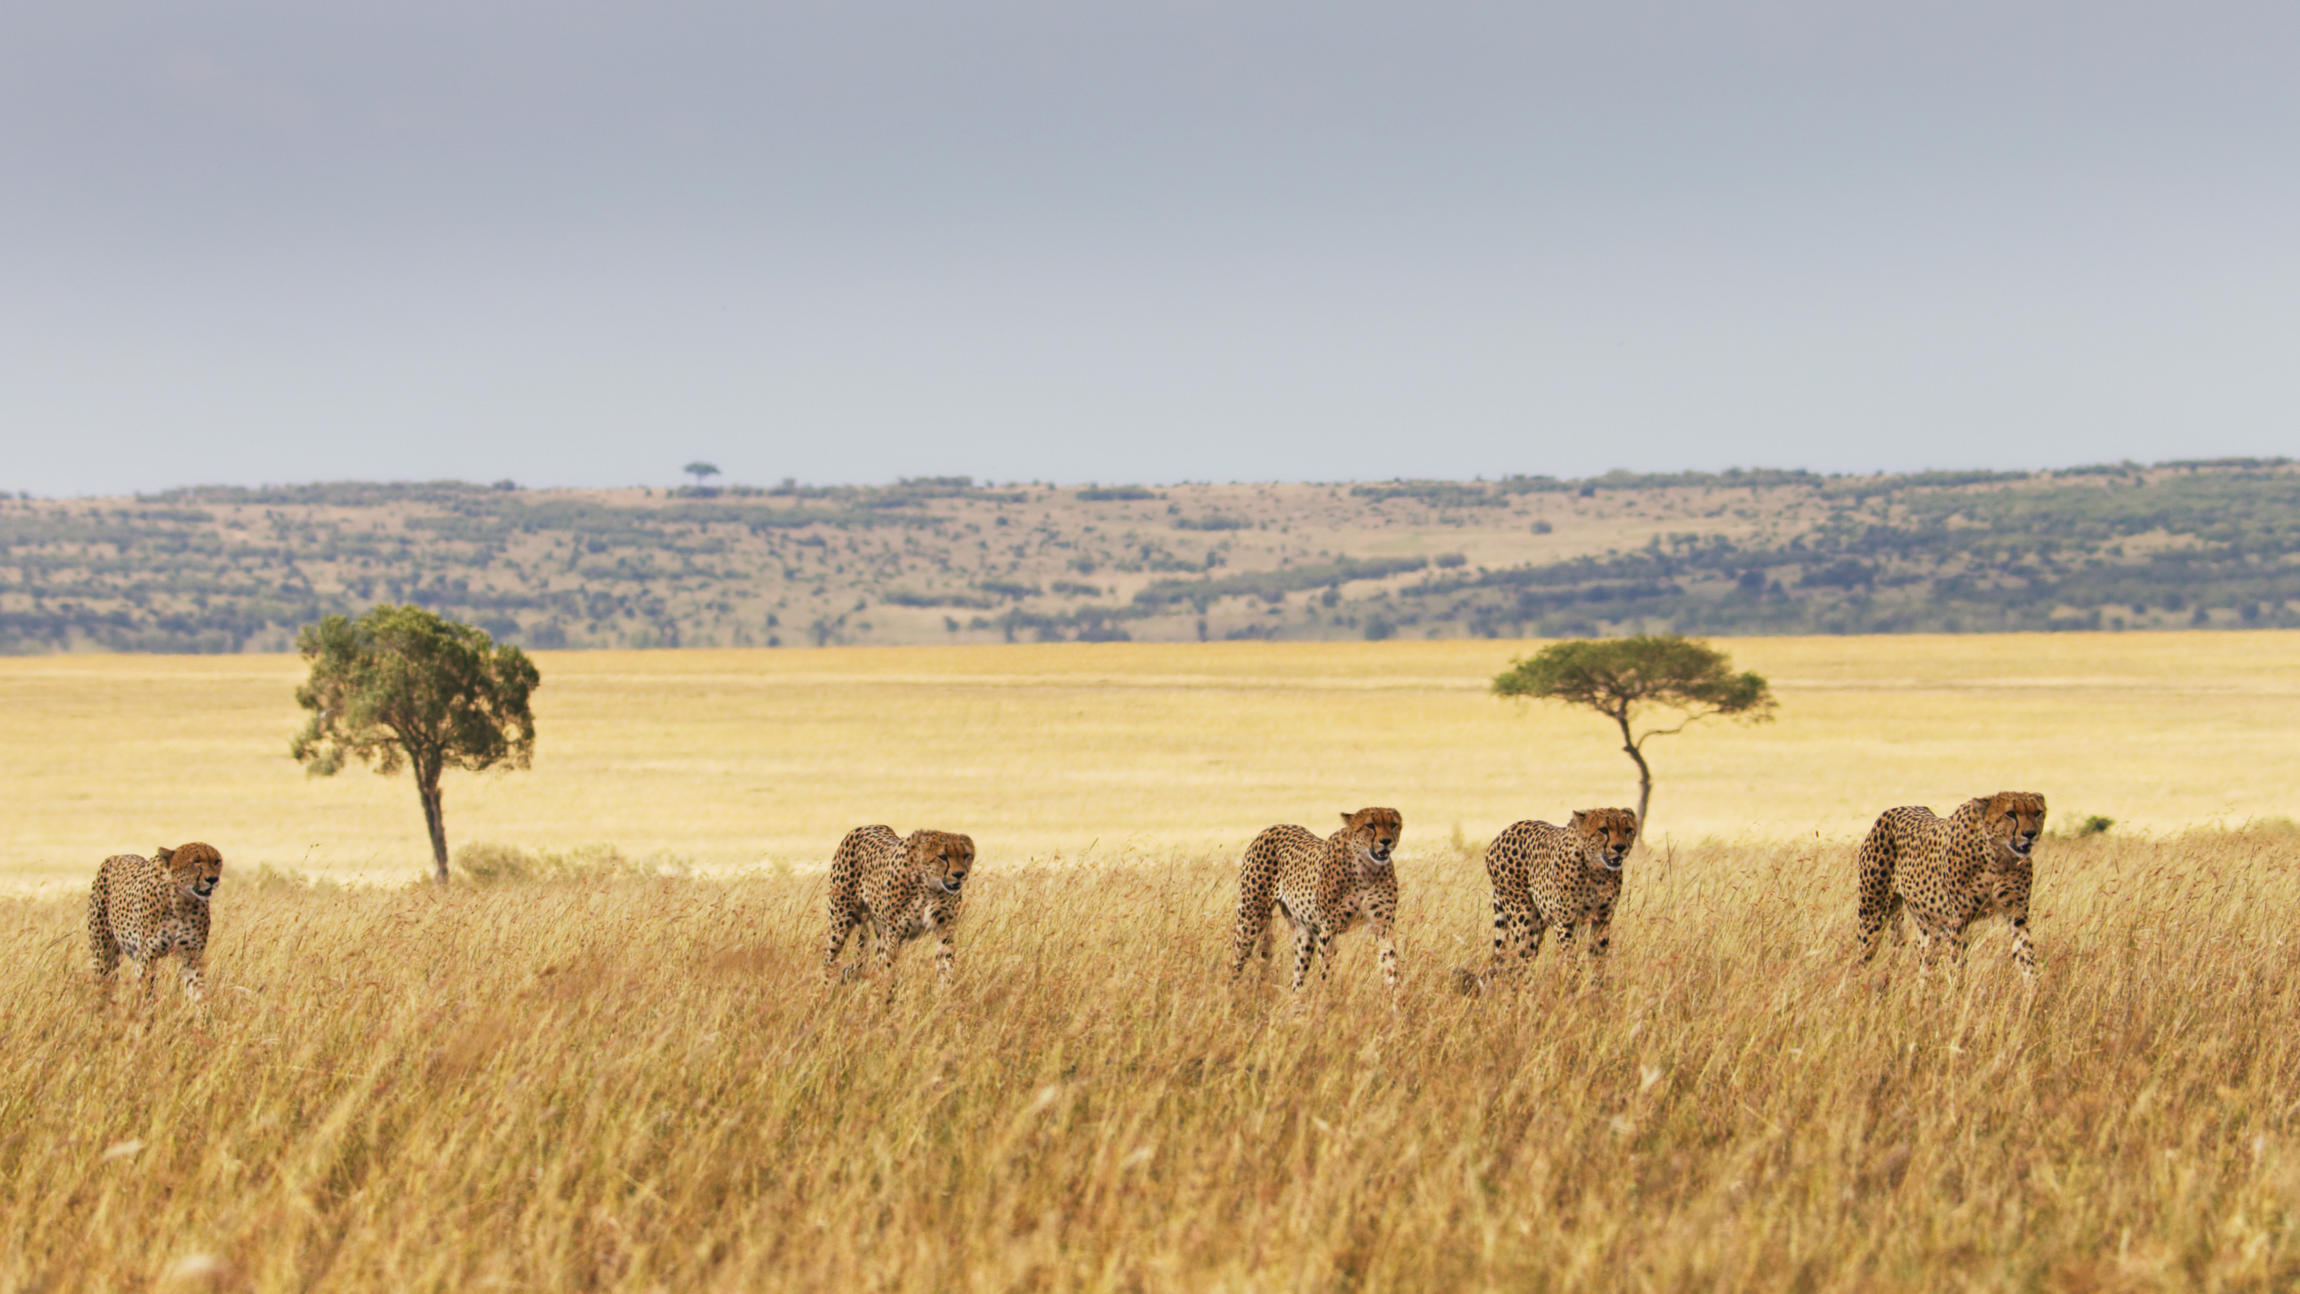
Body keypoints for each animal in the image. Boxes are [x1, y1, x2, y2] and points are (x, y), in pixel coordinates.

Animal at [87, 845, 221, 1006]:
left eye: (217, 861)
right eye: (196, 861)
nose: (213, 879)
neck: (182, 902)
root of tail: (116, 856)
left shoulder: (191, 957)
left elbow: (199, 992)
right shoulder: (147, 958)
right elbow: (147, 994)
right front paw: (147, 1011)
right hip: (103, 955)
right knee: (103, 986)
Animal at [823, 827, 975, 997]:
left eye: (966, 855)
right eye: (942, 856)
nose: (959, 874)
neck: (929, 886)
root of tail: (862, 828)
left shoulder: (945, 930)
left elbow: (946, 964)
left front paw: (946, 995)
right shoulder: (895, 935)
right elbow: (891, 970)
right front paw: (888, 999)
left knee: (876, 964)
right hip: (840, 922)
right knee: (829, 960)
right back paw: (825, 995)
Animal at [1223, 809, 1398, 992]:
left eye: (1394, 825)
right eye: (1370, 825)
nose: (1386, 841)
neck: (1367, 868)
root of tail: (1272, 827)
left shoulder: (1383, 925)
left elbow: (1391, 965)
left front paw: (1395, 997)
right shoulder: (1328, 929)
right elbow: (1326, 970)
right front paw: (1325, 995)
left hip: (1303, 933)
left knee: (1297, 976)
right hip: (1250, 918)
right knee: (1236, 960)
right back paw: (1230, 993)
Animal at [1490, 809, 1637, 983]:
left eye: (1628, 830)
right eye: (1603, 830)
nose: (1620, 847)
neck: (1596, 869)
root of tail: (1505, 832)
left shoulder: (1602, 919)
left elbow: (1597, 956)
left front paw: (1596, 984)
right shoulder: (1565, 922)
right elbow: (1570, 955)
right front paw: (1574, 981)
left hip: (1539, 921)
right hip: (1523, 917)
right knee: (1524, 957)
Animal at [1858, 790, 2042, 983]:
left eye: (2038, 812)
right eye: (2010, 813)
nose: (2030, 834)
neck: (1999, 857)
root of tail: (1893, 810)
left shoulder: (2017, 915)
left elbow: (2026, 955)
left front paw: (2032, 989)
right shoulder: (1957, 921)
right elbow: (1957, 962)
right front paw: (1957, 990)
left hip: (1927, 924)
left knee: (1925, 965)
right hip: (1872, 915)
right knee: (1863, 959)